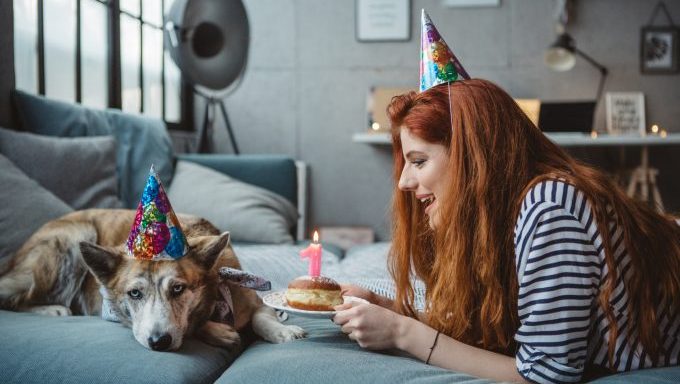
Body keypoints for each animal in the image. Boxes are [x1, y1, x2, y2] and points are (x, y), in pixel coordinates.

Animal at [0, 210, 306, 352]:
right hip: (73, 238)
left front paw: (282, 331)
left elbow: (261, 316)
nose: (159, 342)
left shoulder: (252, 298)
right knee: (14, 297)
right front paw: (218, 332)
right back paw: (52, 308)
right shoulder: (112, 311)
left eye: (178, 289)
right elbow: (195, 327)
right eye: (134, 294)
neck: (214, 298)